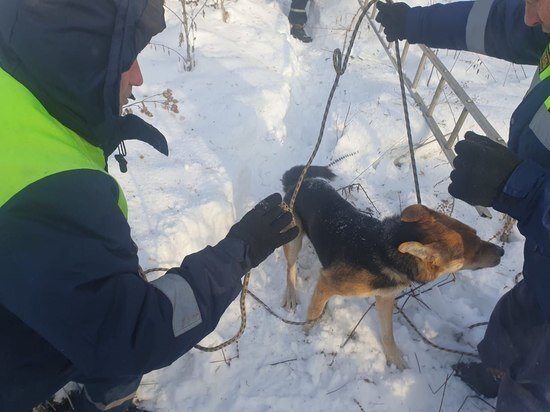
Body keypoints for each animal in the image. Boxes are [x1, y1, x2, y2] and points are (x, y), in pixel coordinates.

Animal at [284, 166, 504, 368]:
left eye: (476, 234)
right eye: (474, 252)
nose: (501, 252)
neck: (385, 249)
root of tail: (301, 181)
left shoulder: (385, 298)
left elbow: (388, 334)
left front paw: (396, 360)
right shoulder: (327, 282)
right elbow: (312, 315)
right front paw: (306, 337)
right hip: (294, 240)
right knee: (290, 269)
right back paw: (291, 296)